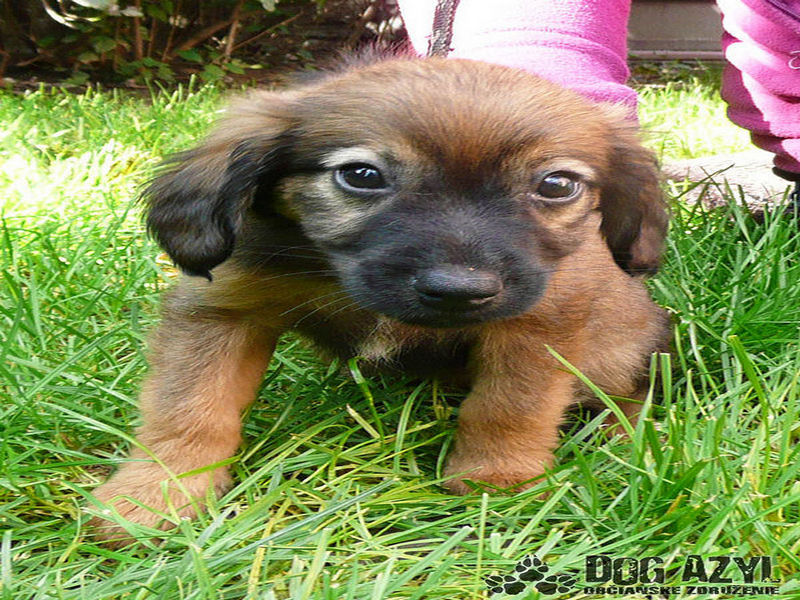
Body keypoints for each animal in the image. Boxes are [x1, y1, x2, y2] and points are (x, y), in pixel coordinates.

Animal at [90, 55, 670, 543]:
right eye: (362, 175)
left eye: (556, 184)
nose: (459, 290)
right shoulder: (223, 312)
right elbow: (189, 410)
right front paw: (158, 492)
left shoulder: (535, 323)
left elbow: (508, 407)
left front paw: (497, 476)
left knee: (626, 390)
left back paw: (630, 437)